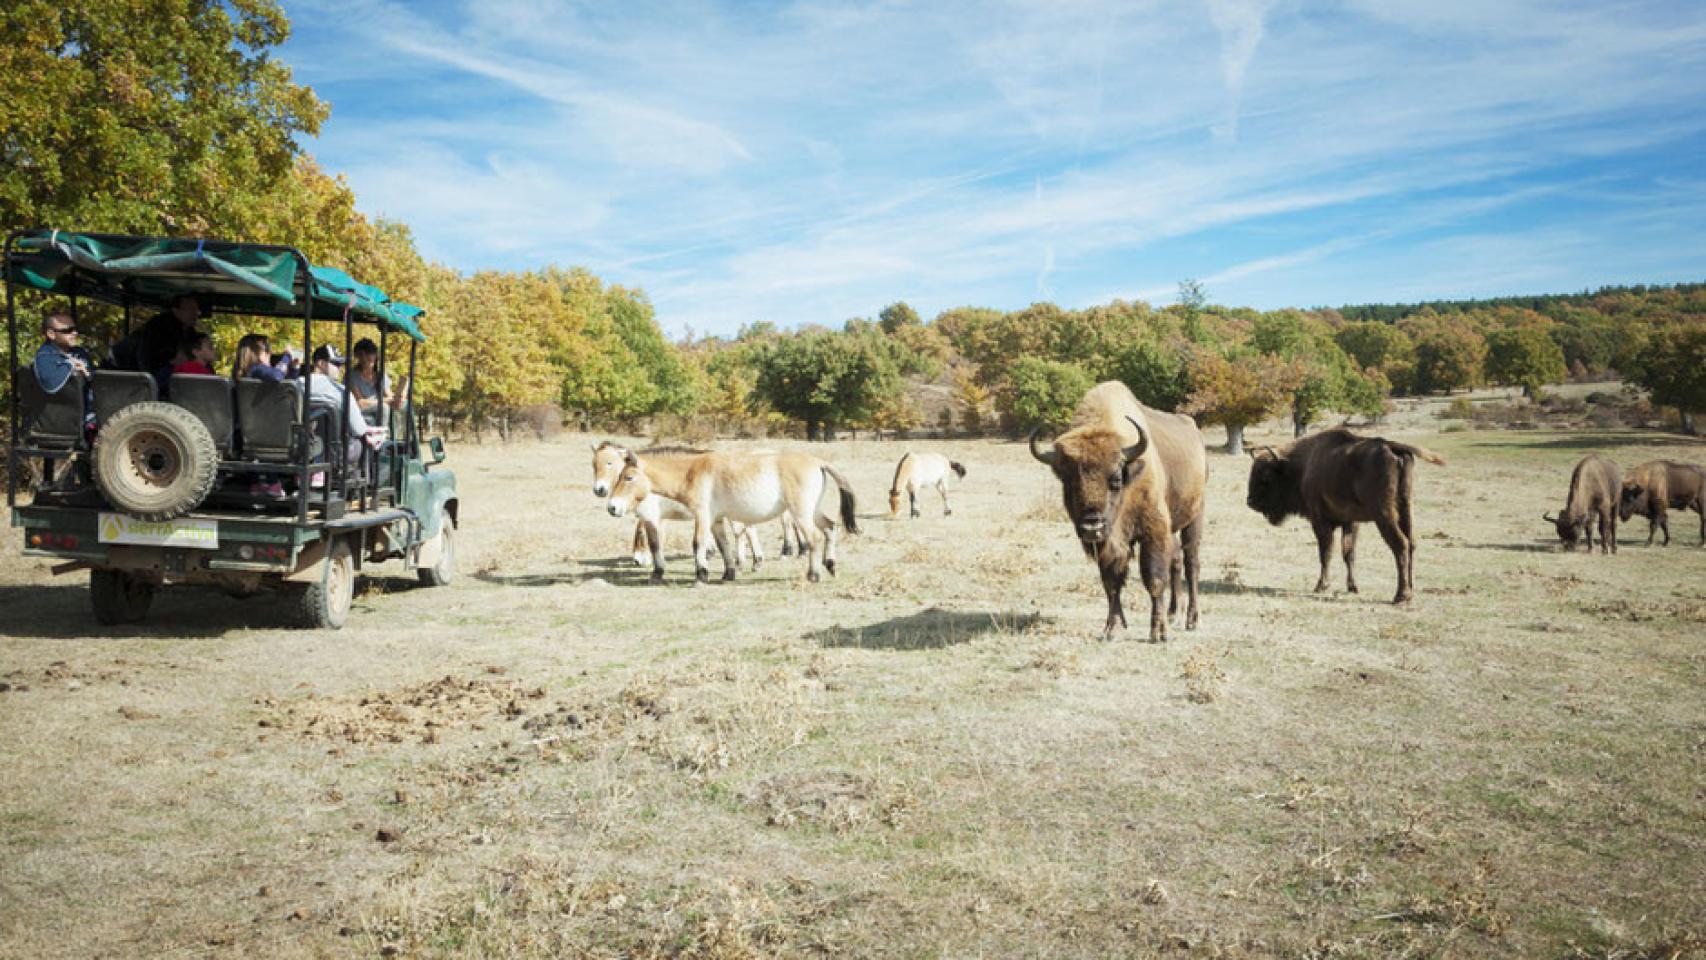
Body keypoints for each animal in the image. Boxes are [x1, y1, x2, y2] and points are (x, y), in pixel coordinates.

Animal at [607, 453, 859, 586]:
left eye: (628, 477)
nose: (612, 507)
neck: (691, 473)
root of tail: (817, 461)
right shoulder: (717, 520)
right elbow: (723, 545)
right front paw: (728, 573)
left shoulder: (702, 515)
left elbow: (698, 544)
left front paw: (701, 576)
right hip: (813, 512)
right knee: (830, 527)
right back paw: (830, 565)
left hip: (801, 514)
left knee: (815, 538)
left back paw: (813, 575)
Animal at [1030, 380, 1207, 641]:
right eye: (1068, 480)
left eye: (1115, 478)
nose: (1092, 526)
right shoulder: (1108, 545)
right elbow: (1112, 583)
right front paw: (1112, 628)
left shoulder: (1153, 531)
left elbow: (1154, 578)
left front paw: (1158, 632)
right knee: (1175, 561)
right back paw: (1174, 614)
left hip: (1195, 517)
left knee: (1191, 564)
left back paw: (1191, 620)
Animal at [1248, 429, 1446, 603]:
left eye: (1266, 476)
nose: (1250, 501)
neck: (1303, 465)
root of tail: (1391, 445)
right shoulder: (1351, 523)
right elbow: (1349, 554)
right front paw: (1352, 587)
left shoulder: (1320, 521)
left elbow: (1326, 552)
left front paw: (1321, 586)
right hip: (1406, 508)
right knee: (1411, 543)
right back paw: (1410, 591)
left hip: (1384, 515)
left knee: (1400, 544)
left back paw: (1401, 596)